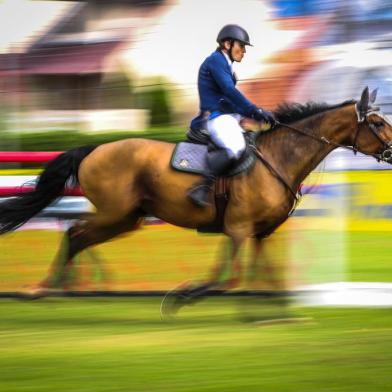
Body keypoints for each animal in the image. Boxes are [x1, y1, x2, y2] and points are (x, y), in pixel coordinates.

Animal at [0, 86, 392, 312]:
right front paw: (183, 296)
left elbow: (265, 275)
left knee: (79, 236)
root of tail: (94, 149)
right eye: (376, 122)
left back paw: (61, 289)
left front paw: (274, 313)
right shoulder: (238, 228)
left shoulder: (258, 233)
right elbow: (228, 276)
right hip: (115, 213)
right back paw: (47, 289)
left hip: (126, 218)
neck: (278, 157)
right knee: (74, 233)